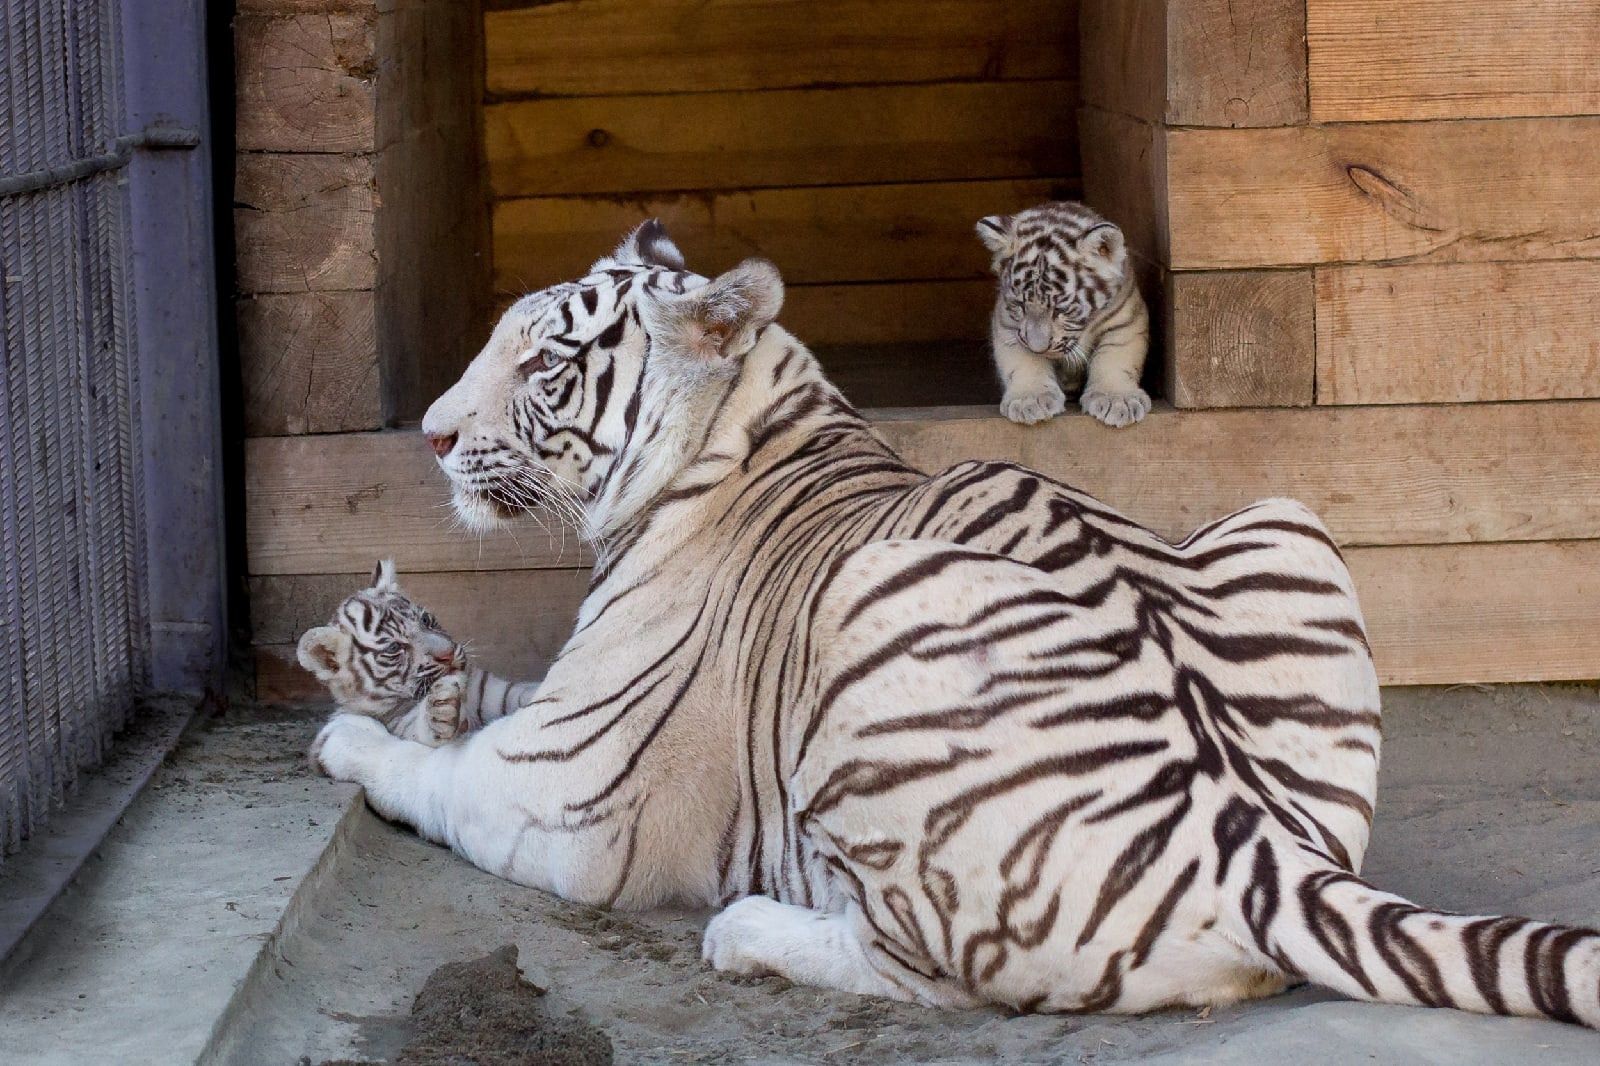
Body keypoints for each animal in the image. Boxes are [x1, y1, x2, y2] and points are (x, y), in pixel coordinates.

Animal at [972, 201, 1152, 425]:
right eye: (1020, 304)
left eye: (1061, 309)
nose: (1039, 348)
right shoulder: (1006, 323)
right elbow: (1024, 360)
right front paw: (1031, 400)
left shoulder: (1125, 320)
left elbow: (1114, 357)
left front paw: (1117, 400)